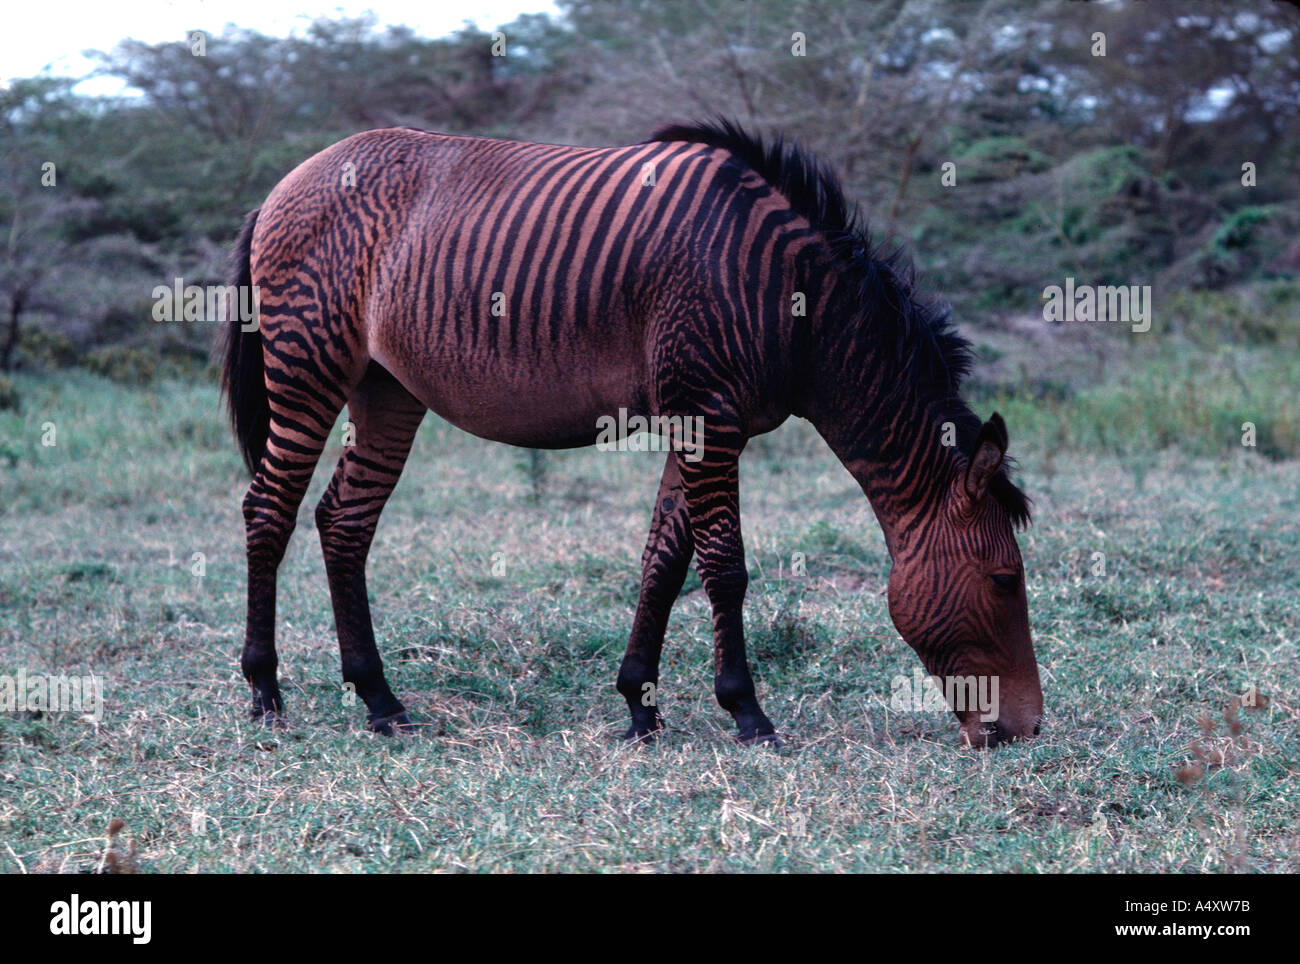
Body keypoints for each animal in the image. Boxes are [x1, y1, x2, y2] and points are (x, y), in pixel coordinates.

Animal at [220, 119, 1043, 747]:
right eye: (1007, 580)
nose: (1028, 732)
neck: (795, 305)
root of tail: (286, 182)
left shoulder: (699, 419)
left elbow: (664, 562)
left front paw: (639, 706)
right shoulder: (710, 417)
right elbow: (725, 567)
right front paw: (747, 712)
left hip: (384, 389)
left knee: (343, 520)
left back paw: (379, 700)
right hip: (307, 369)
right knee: (268, 509)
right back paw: (264, 691)